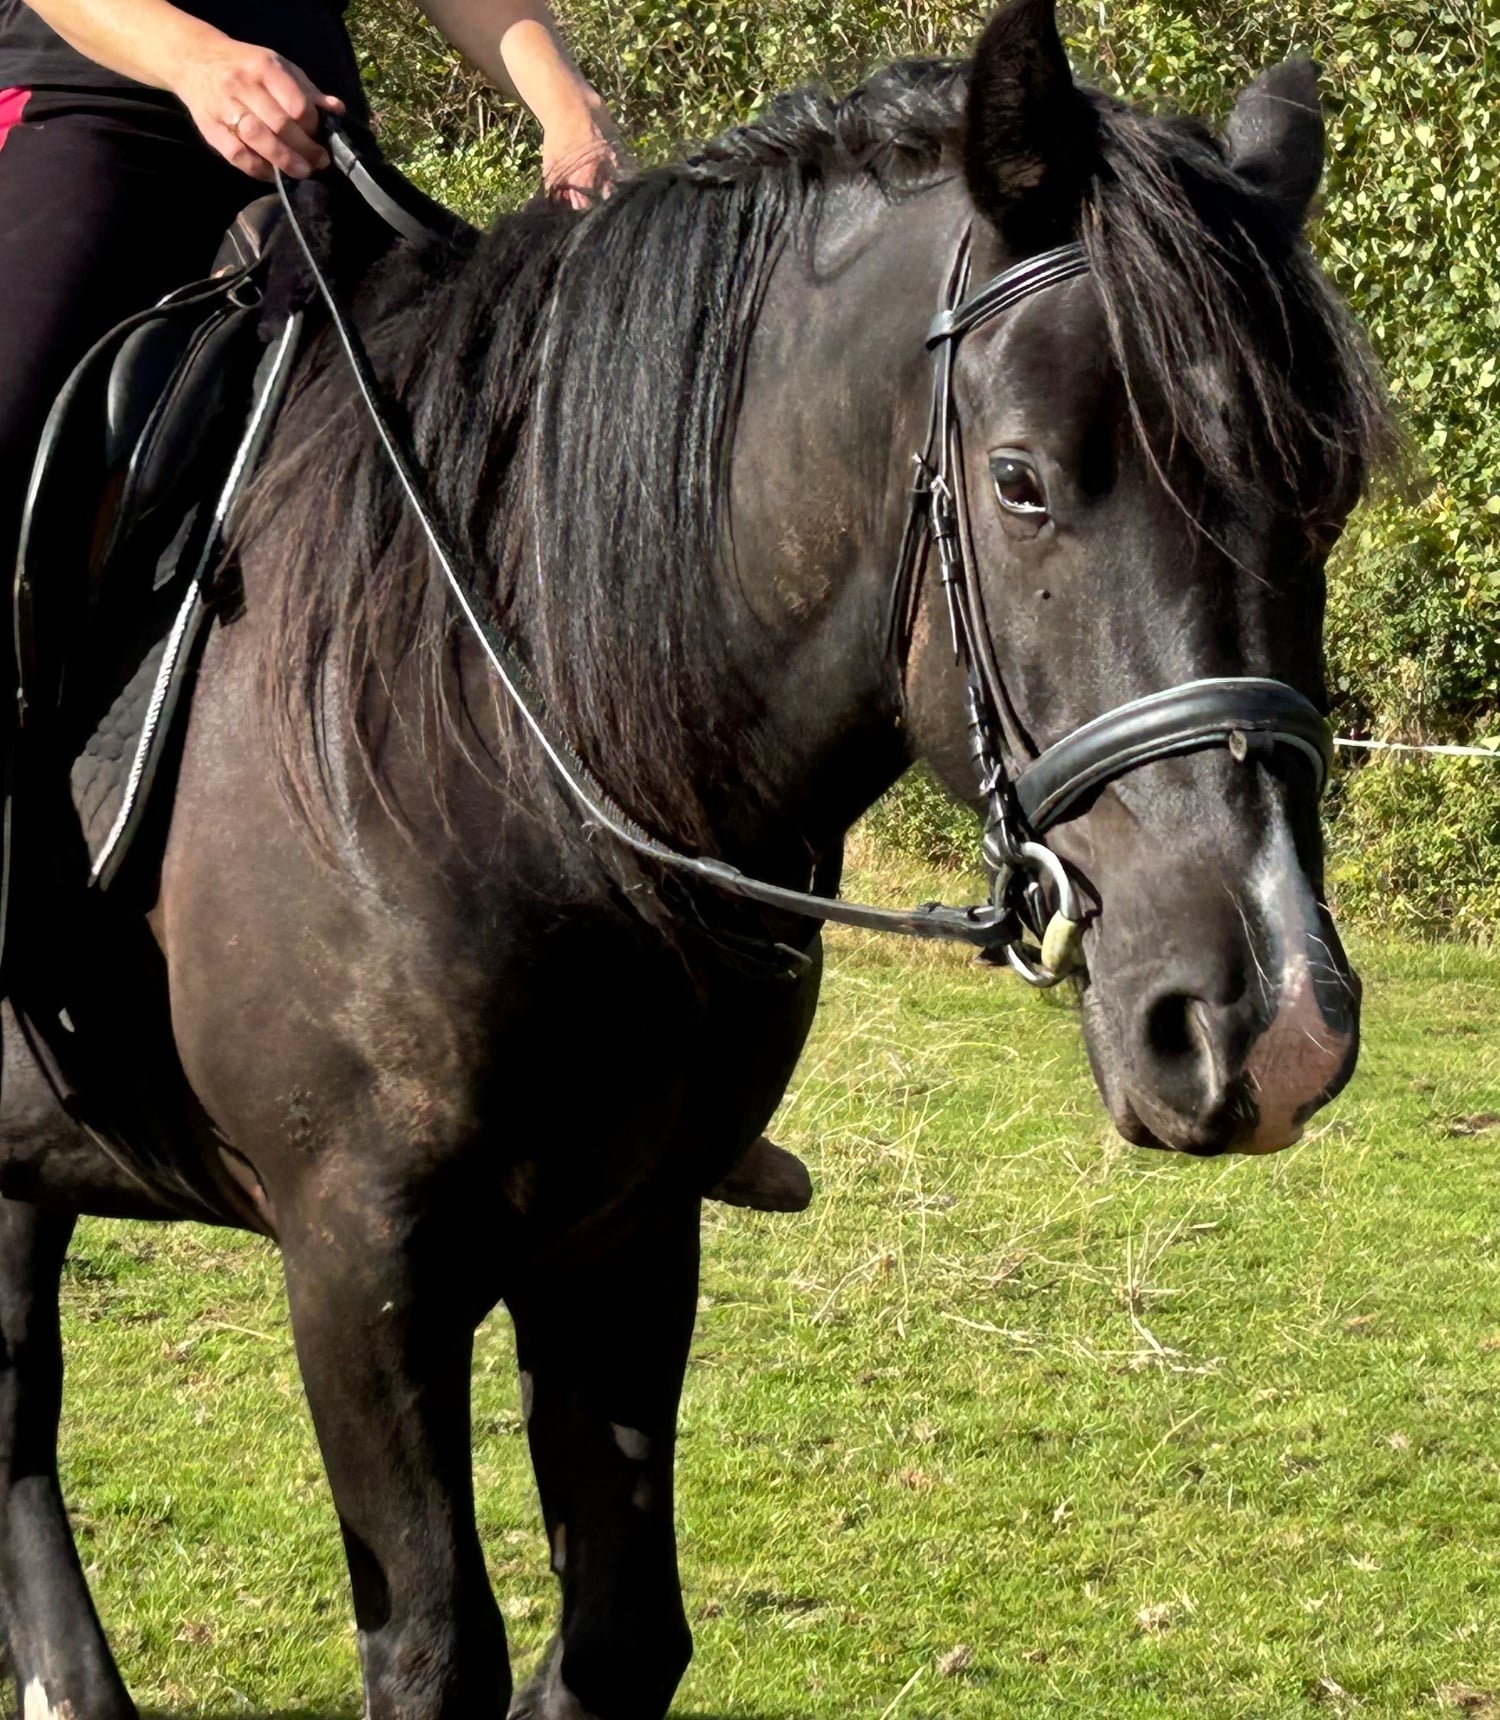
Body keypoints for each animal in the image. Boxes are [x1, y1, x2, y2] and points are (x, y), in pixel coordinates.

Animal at [0, 0, 1389, 1713]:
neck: (499, 712)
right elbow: (434, 1648)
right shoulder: (358, 1255)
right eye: (1020, 481)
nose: (1271, 1027)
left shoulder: (625, 1224)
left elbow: (614, 1642)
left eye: (1326, 495)